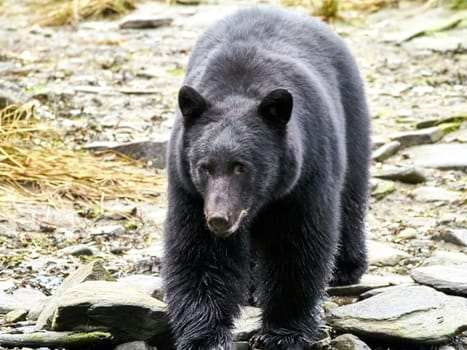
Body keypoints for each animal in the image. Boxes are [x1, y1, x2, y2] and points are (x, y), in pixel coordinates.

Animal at [163, 5, 372, 350]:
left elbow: (297, 248)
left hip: (352, 118)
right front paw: (204, 336)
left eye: (242, 166)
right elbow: (200, 251)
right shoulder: (188, 188)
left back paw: (346, 266)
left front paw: (283, 333)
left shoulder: (305, 176)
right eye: (204, 166)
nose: (219, 218)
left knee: (352, 193)